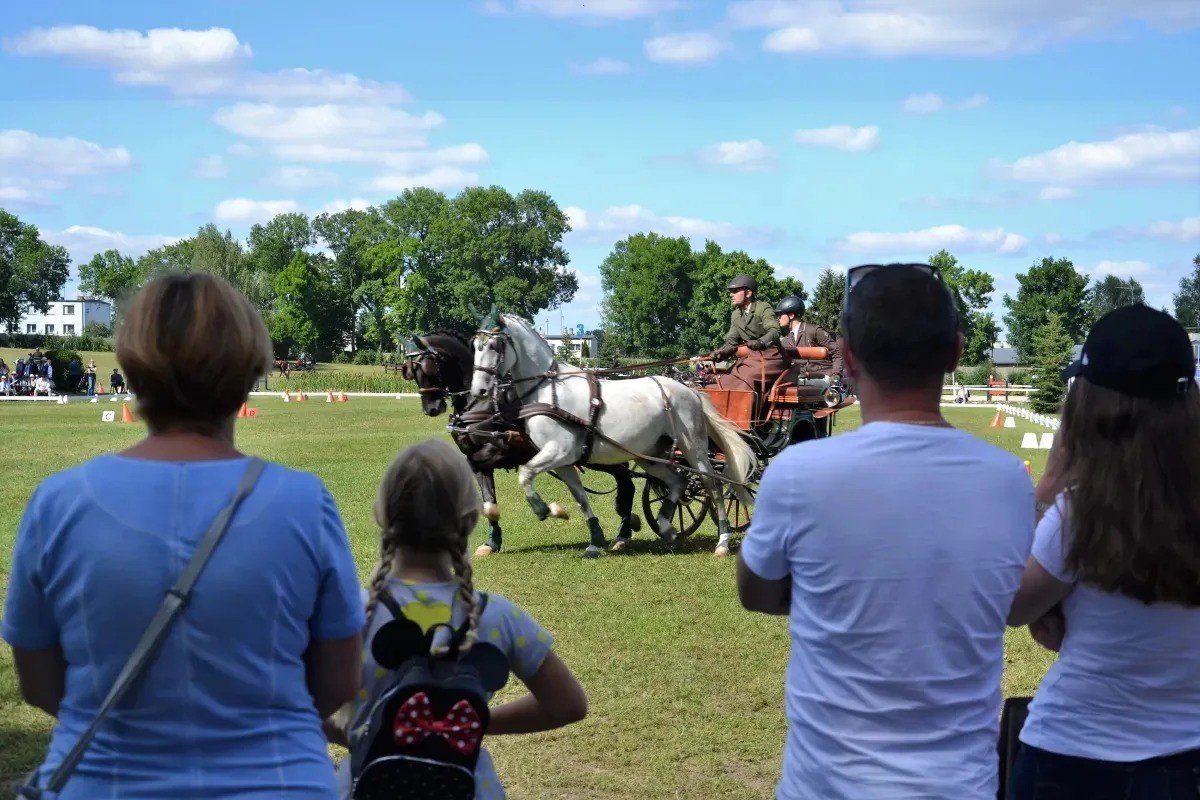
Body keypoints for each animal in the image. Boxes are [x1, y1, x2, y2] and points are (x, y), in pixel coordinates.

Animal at [465, 311, 753, 556]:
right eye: (475, 346)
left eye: (494, 346)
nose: (479, 391)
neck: (549, 390)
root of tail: (691, 391)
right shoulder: (564, 461)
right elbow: (580, 498)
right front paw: (592, 538)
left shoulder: (559, 450)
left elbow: (525, 473)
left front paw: (544, 509)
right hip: (649, 455)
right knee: (678, 482)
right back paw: (666, 526)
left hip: (694, 449)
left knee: (714, 486)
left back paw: (722, 542)